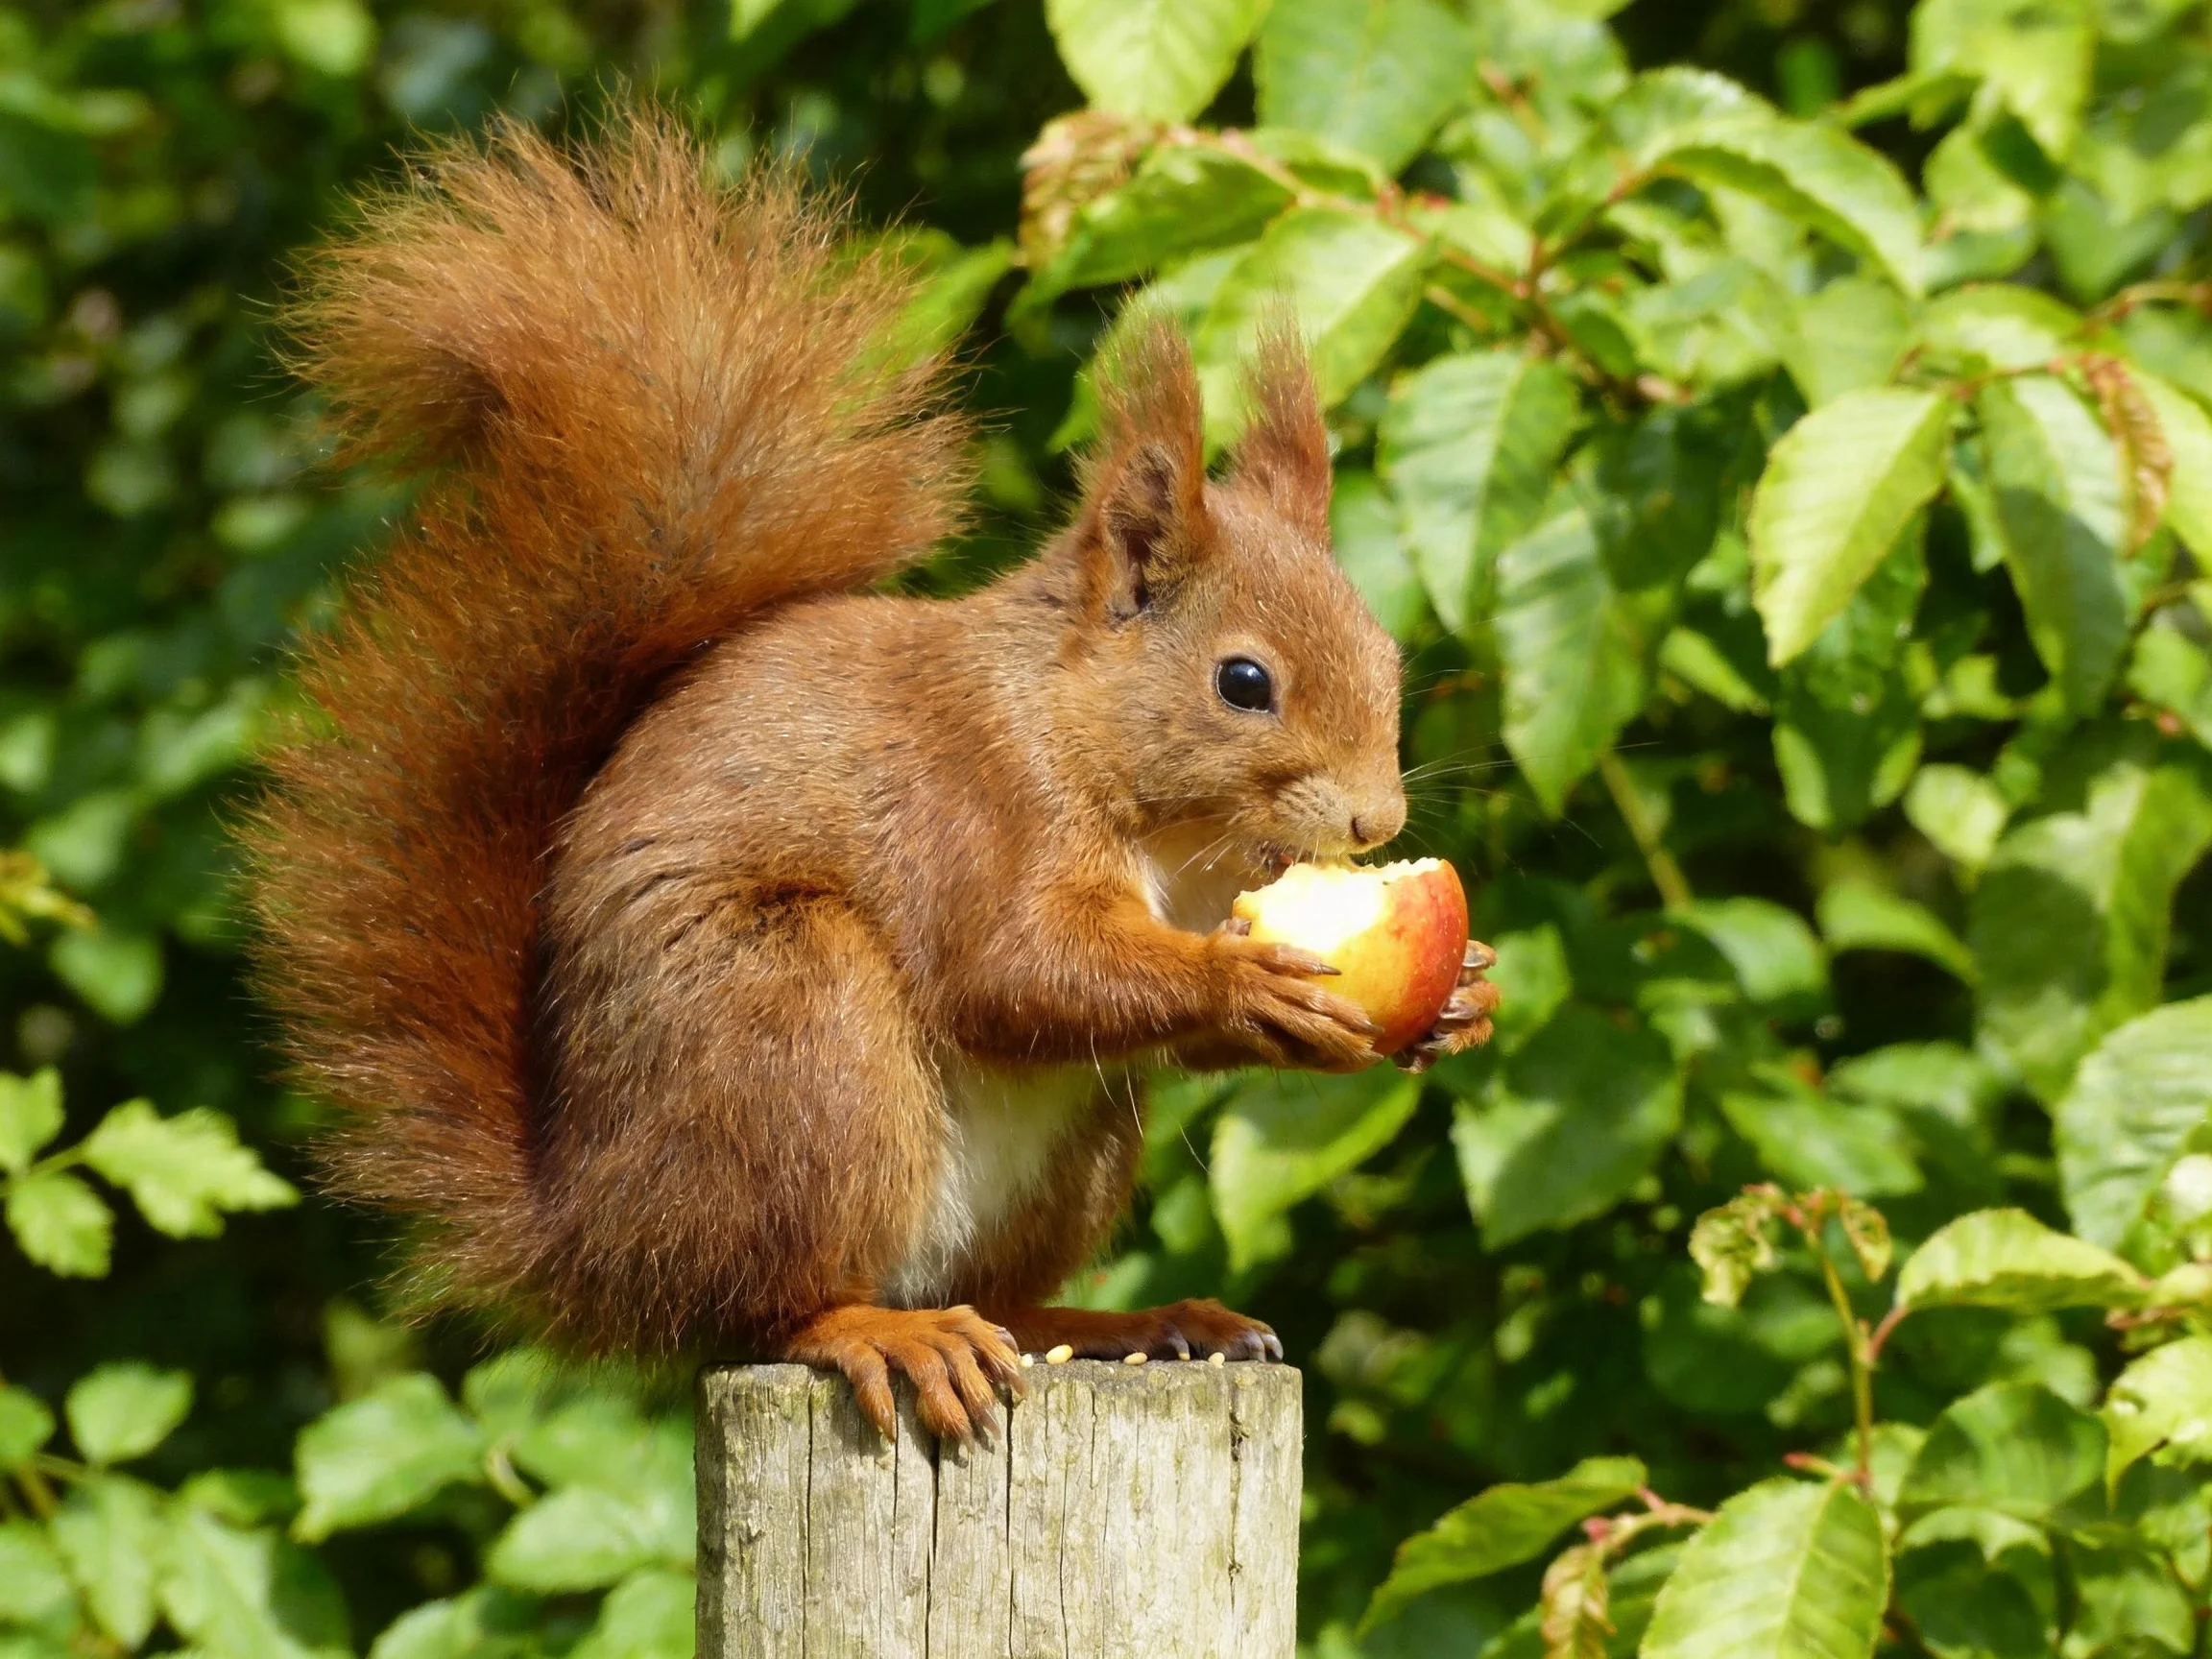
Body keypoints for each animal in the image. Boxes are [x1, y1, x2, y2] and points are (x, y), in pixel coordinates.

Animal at [245, 111, 1500, 1441]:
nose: (1376, 818)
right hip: (792, 1031)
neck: (1162, 821)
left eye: (1388, 652)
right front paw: (1242, 982)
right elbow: (1011, 969)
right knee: (768, 1304)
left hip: (1070, 1152)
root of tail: (595, 1233)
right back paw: (880, 1331)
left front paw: (1464, 993)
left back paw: (1136, 1323)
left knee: (1006, 1297)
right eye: (1244, 682)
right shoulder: (976, 799)